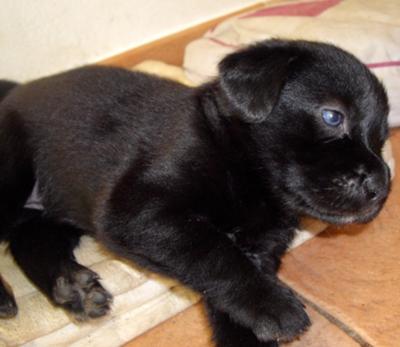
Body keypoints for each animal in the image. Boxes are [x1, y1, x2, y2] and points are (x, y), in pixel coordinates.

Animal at [0, 39, 390, 346]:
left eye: (382, 136)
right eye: (332, 116)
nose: (382, 188)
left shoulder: (257, 250)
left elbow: (231, 299)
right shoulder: (138, 209)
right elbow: (215, 252)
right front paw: (275, 305)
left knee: (28, 240)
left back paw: (73, 288)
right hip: (13, 174)